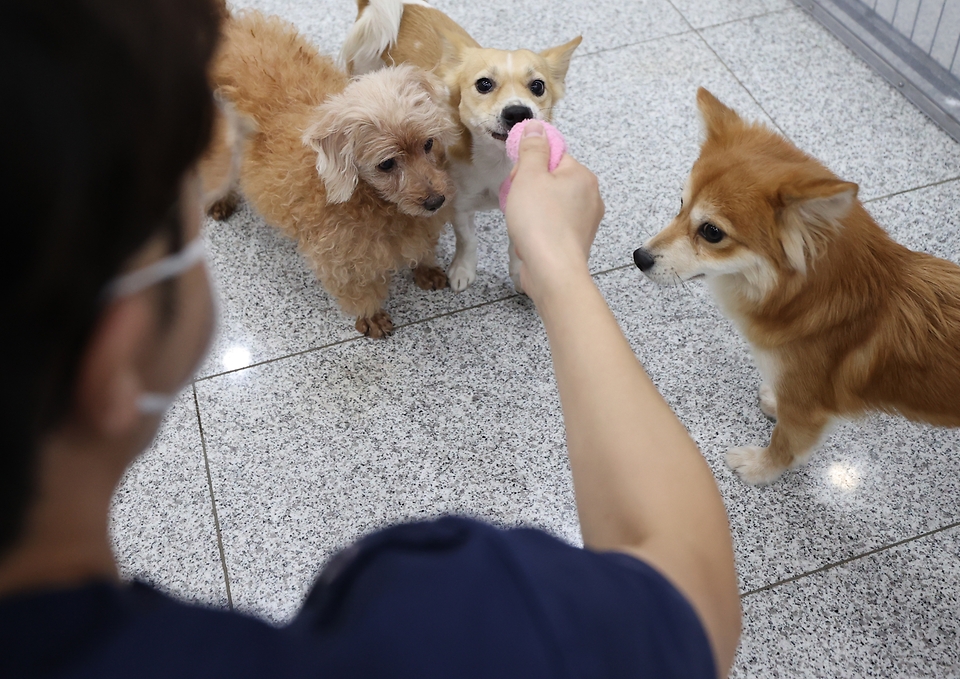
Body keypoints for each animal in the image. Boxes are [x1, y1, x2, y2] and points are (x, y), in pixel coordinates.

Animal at [203, 9, 458, 338]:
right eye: (386, 164)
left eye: (428, 143)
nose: (436, 201)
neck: (374, 201)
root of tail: (227, 24)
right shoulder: (343, 258)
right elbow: (360, 290)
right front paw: (371, 316)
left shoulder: (422, 225)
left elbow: (424, 247)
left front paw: (427, 269)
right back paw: (219, 199)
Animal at [342, 0, 580, 292]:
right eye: (484, 84)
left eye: (538, 86)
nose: (518, 112)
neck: (495, 162)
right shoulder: (458, 206)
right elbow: (468, 241)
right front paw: (464, 269)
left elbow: (516, 246)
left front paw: (520, 274)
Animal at [636, 89, 960, 484]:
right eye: (680, 205)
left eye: (712, 232)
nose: (638, 257)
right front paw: (774, 402)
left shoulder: (807, 410)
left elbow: (785, 445)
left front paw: (759, 468)